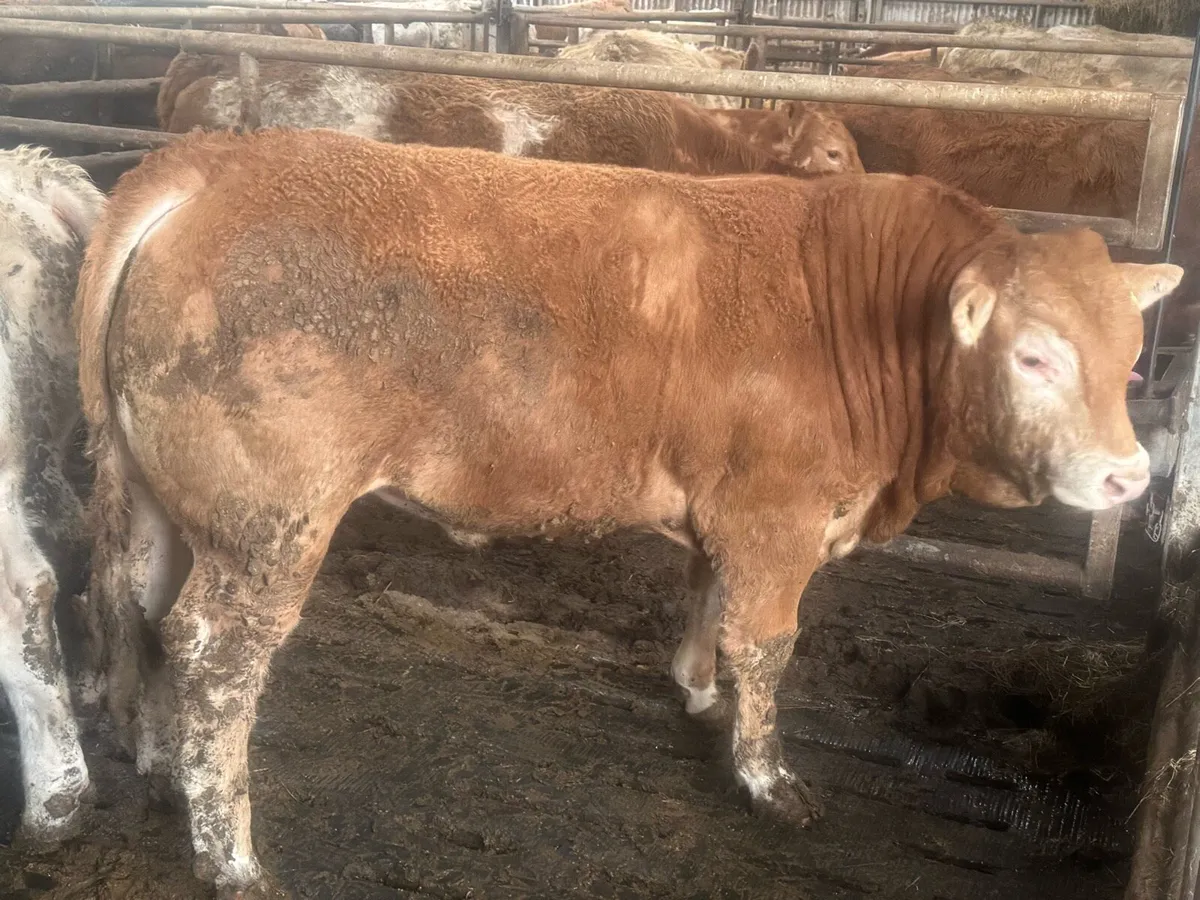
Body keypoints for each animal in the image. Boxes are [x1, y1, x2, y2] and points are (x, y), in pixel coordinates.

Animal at [77, 126, 1179, 896]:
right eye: (1034, 355)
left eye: (1131, 355)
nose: (1129, 479)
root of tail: (215, 162)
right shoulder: (776, 515)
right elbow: (767, 646)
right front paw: (768, 779)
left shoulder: (730, 509)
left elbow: (707, 603)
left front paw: (695, 690)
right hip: (271, 524)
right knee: (218, 655)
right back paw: (230, 856)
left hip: (163, 500)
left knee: (142, 607)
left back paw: (159, 763)